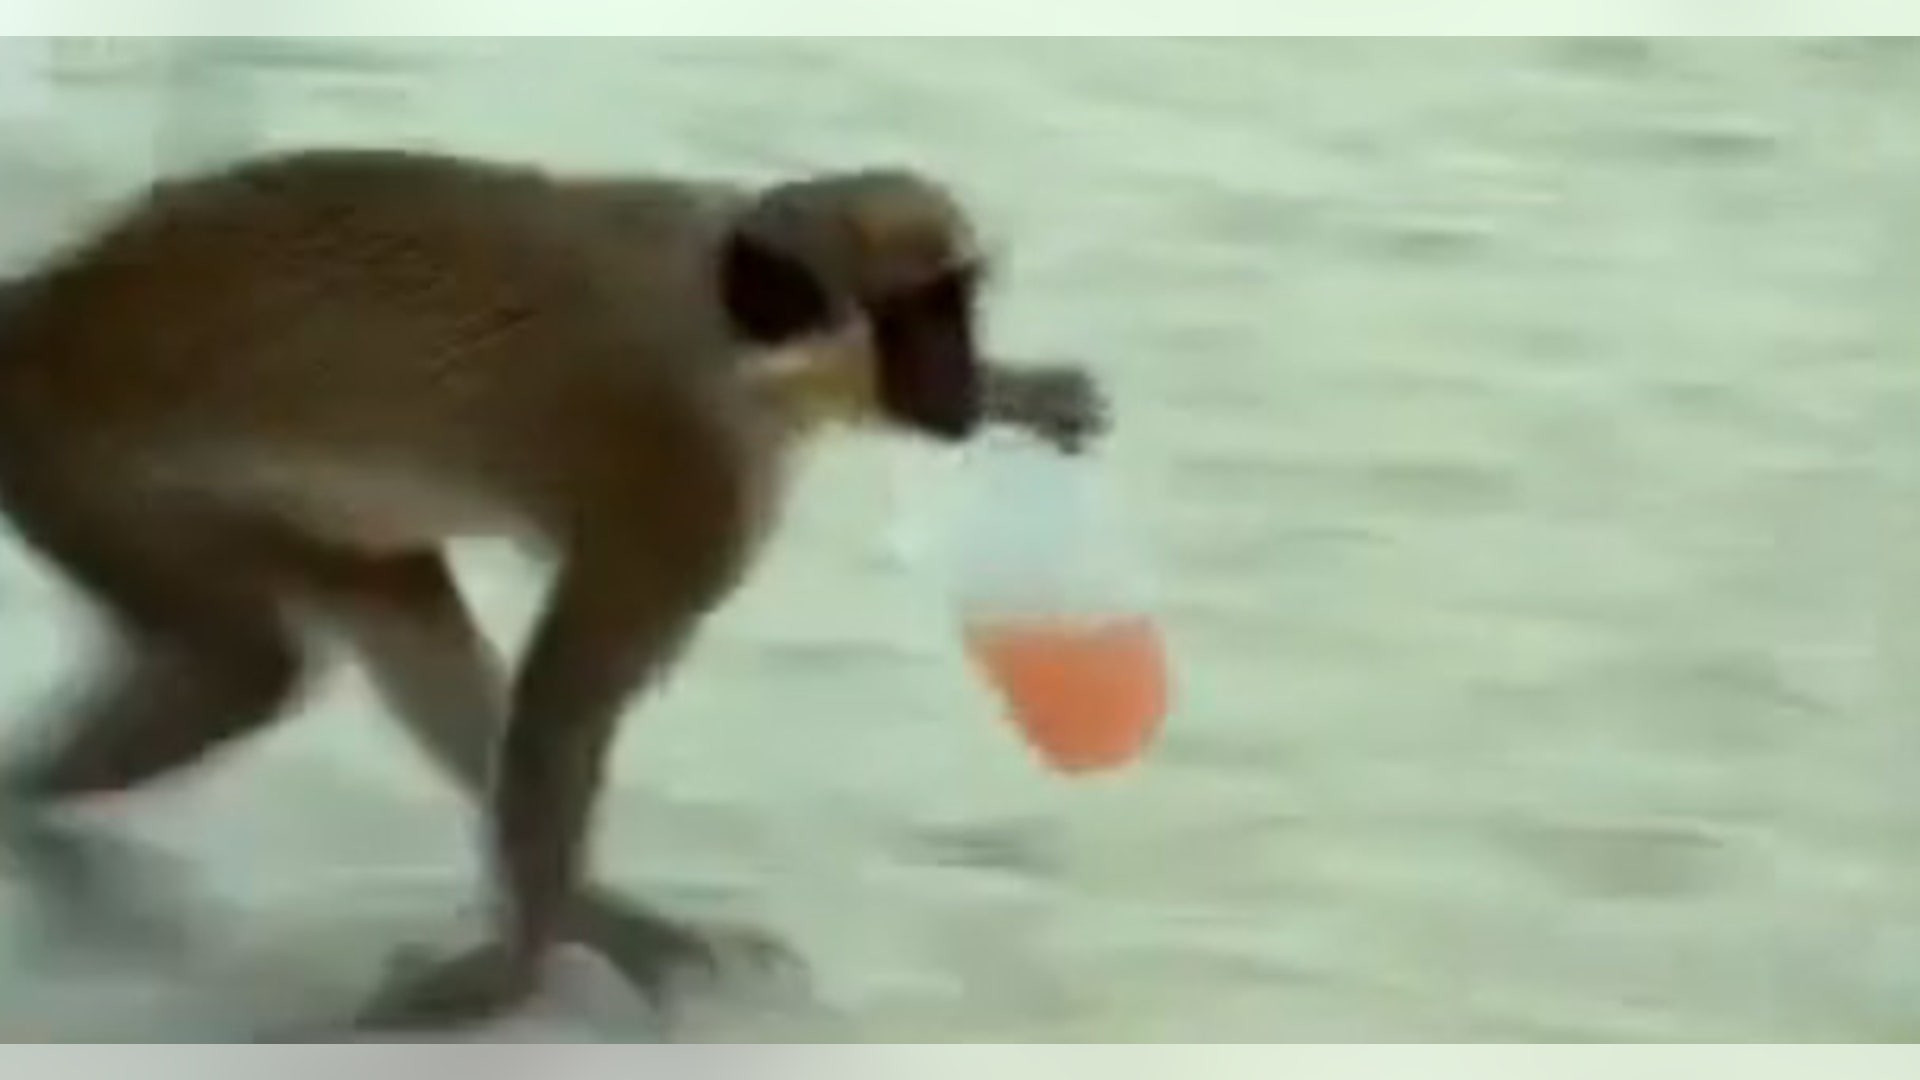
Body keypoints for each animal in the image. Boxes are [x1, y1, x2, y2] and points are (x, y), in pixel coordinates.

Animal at [0, 147, 1107, 1037]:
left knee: (381, 608)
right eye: (920, 315)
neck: (734, 341)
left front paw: (1024, 390)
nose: (958, 379)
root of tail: (45, 307)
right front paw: (514, 972)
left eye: (960, 308)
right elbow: (571, 694)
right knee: (249, 664)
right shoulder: (680, 478)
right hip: (76, 465)